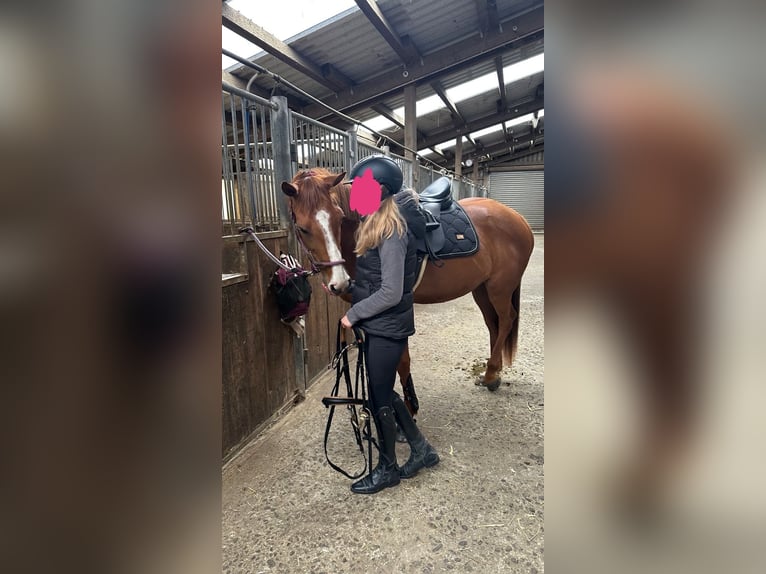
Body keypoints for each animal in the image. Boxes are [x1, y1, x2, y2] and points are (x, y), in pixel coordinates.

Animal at [281, 168, 534, 408]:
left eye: (339, 218)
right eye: (303, 228)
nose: (340, 282)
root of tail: (519, 218)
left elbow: (400, 362)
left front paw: (407, 409)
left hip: (499, 289)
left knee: (507, 320)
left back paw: (491, 373)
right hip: (482, 289)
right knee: (494, 324)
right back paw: (494, 373)